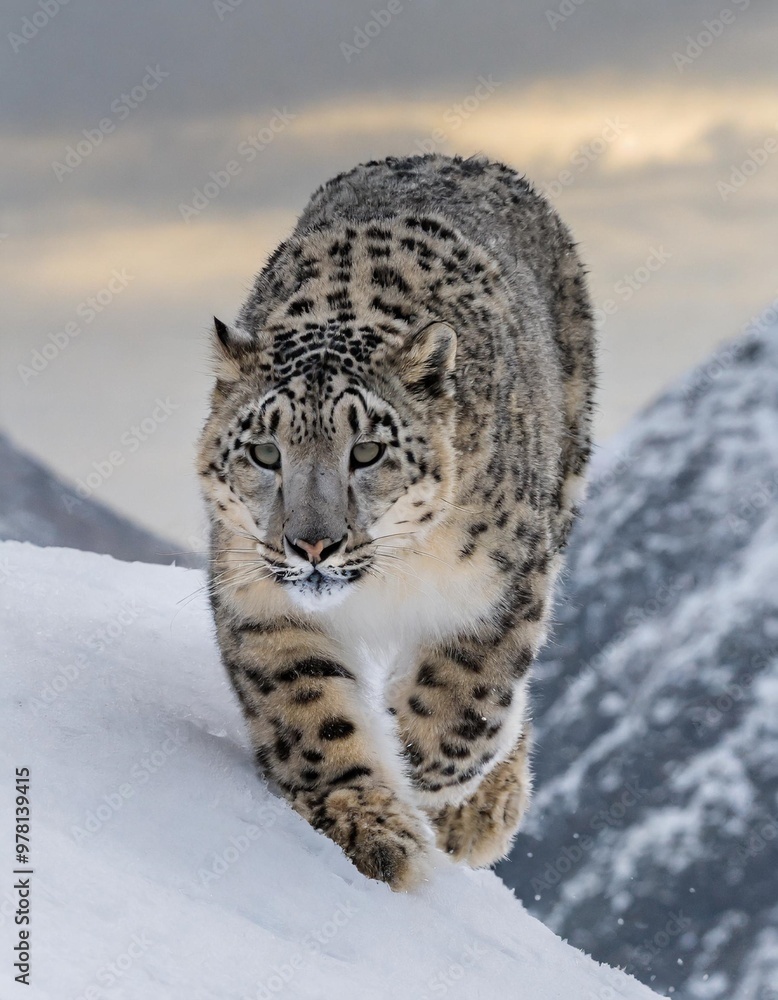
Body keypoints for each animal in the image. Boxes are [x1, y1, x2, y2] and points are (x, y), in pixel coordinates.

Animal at [196, 153, 596, 891]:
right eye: (264, 452)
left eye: (368, 450)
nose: (313, 543)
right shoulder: (257, 596)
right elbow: (311, 715)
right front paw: (371, 828)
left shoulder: (504, 588)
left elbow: (467, 704)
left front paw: (430, 788)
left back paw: (482, 811)